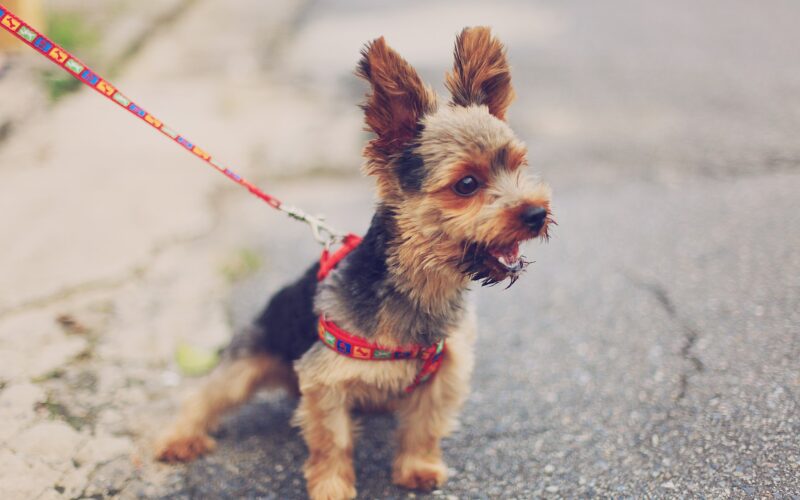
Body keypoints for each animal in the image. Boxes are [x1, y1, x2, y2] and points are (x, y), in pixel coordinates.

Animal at [158, 26, 556, 500]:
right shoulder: (325, 382)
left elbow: (424, 427)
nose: (536, 213)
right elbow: (333, 442)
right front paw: (333, 487)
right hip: (250, 356)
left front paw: (419, 467)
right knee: (207, 396)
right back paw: (178, 438)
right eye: (466, 184)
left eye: (518, 165)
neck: (421, 285)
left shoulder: (445, 374)